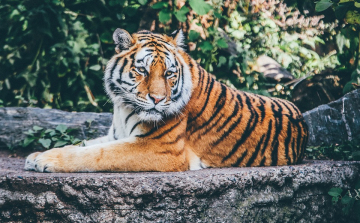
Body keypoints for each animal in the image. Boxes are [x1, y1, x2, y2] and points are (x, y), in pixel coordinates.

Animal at [23, 28, 308, 172]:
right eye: (142, 70)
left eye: (170, 73)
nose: (158, 99)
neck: (123, 106)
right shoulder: (116, 134)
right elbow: (84, 145)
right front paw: (37, 155)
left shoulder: (160, 148)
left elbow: (96, 154)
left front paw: (45, 160)